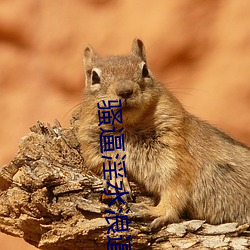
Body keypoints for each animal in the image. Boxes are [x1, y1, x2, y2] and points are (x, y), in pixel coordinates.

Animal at [77, 38, 249, 229]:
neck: (127, 127)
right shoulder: (91, 143)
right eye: (94, 77)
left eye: (145, 70)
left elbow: (175, 189)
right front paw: (116, 178)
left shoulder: (175, 153)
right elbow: (99, 161)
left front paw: (155, 211)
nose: (125, 91)